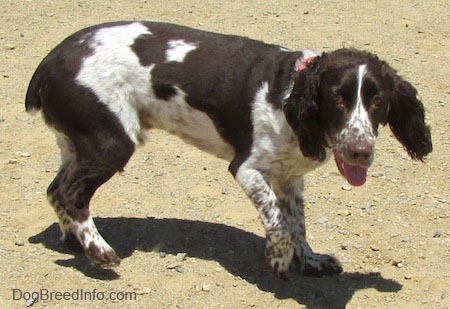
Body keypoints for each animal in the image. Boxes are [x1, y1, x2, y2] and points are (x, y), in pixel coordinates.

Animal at [25, 20, 432, 278]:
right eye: (337, 98)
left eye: (378, 100)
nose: (361, 151)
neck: (290, 93)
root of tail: (48, 63)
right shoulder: (248, 169)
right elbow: (279, 224)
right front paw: (278, 261)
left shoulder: (289, 178)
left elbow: (297, 223)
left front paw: (310, 261)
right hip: (110, 141)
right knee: (71, 194)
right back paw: (99, 251)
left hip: (77, 144)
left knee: (55, 190)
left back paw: (76, 242)